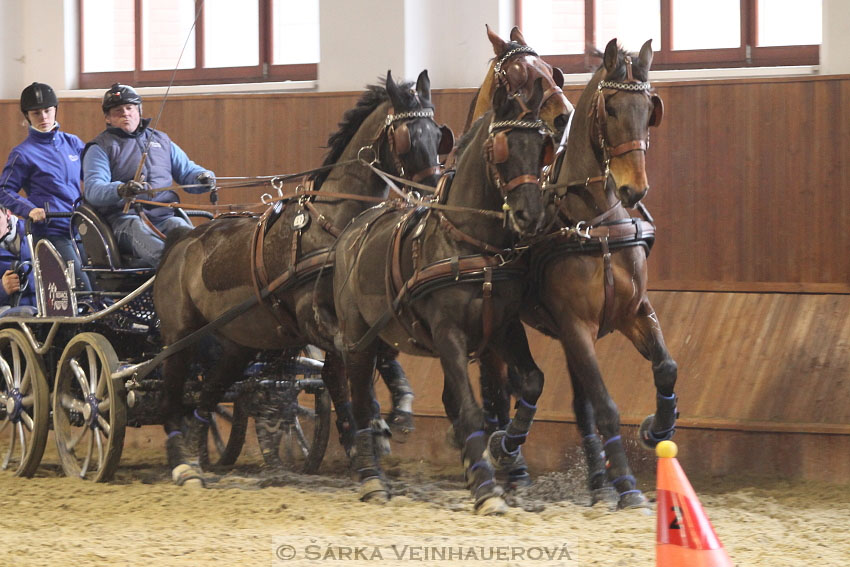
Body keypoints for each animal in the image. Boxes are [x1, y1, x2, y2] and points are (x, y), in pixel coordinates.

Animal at [152, 67, 450, 484]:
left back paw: (197, 457)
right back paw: (181, 462)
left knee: (206, 395)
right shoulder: (313, 319)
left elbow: (372, 358)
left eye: (439, 135)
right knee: (170, 397)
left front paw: (393, 414)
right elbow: (346, 368)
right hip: (179, 337)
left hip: (236, 344)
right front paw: (371, 426)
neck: (335, 228)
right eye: (406, 136)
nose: (432, 192)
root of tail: (181, 242)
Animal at [332, 79, 556, 516]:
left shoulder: (504, 327)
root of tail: (355, 226)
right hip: (357, 338)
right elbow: (469, 408)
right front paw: (486, 489)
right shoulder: (449, 332)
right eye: (501, 148)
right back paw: (371, 478)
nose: (531, 216)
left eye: (542, 145)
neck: (472, 243)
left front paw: (503, 450)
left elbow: (531, 383)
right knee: (361, 401)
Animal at [476, 40, 668, 510]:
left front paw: (657, 427)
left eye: (648, 108)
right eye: (611, 108)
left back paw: (595, 480)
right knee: (497, 393)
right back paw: (506, 459)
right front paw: (628, 486)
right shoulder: (576, 325)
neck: (595, 220)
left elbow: (665, 367)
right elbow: (605, 405)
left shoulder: (632, 312)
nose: (634, 189)